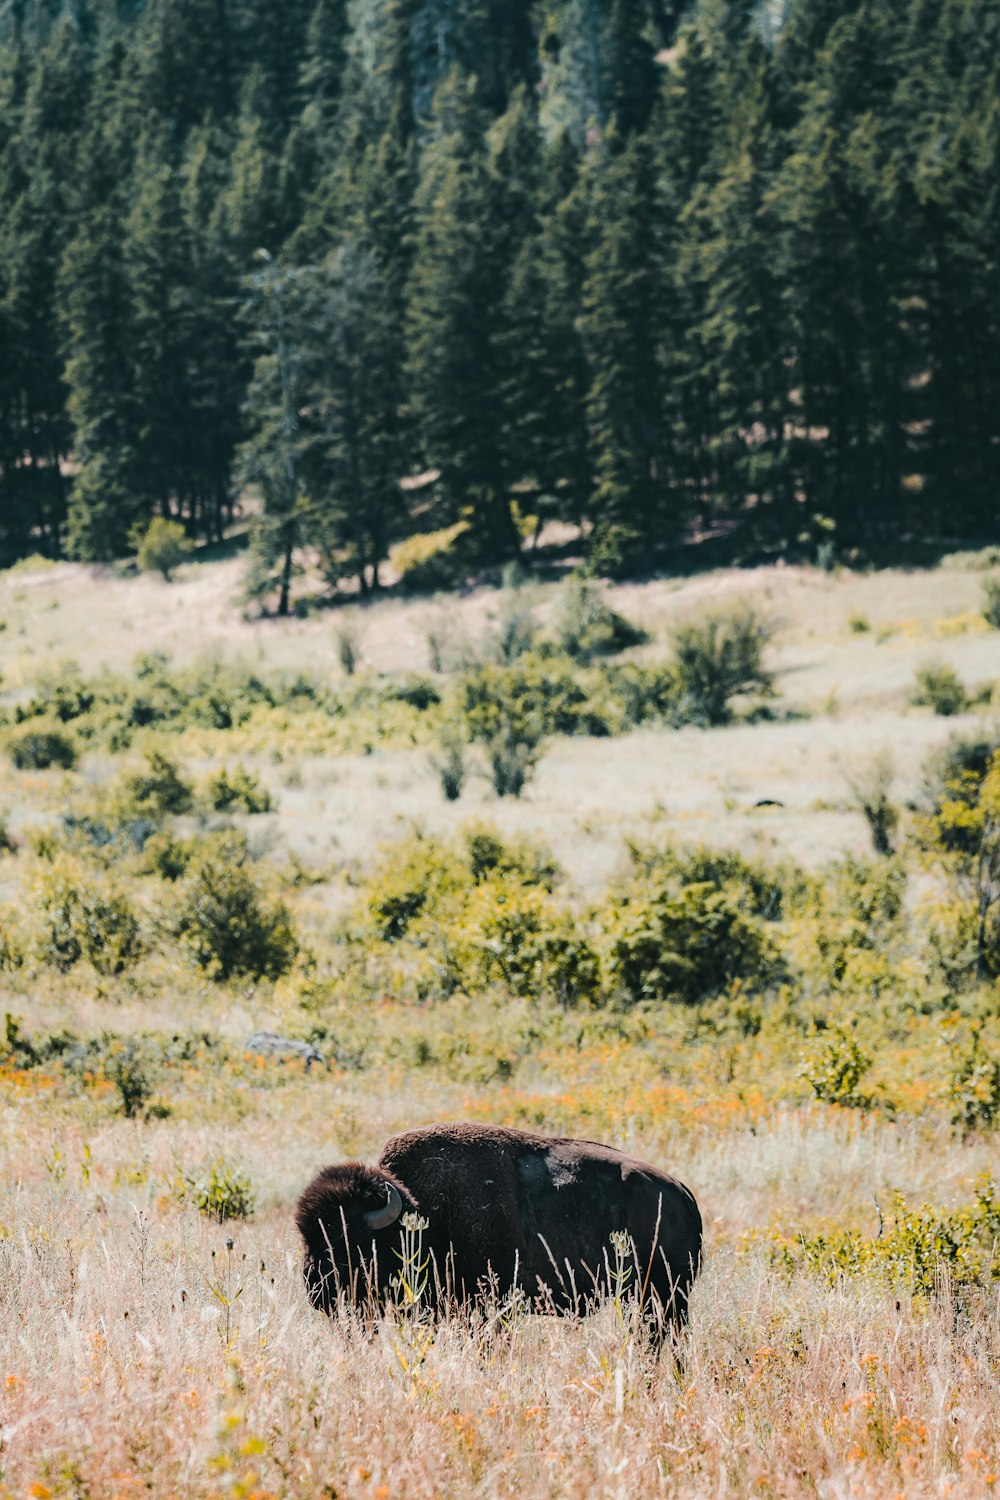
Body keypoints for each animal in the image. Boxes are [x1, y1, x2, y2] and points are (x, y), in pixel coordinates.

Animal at [295, 1122, 704, 1344]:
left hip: (666, 1296)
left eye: (350, 1241)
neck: (421, 1212)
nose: (316, 1291)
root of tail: (682, 1194)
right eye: (306, 1236)